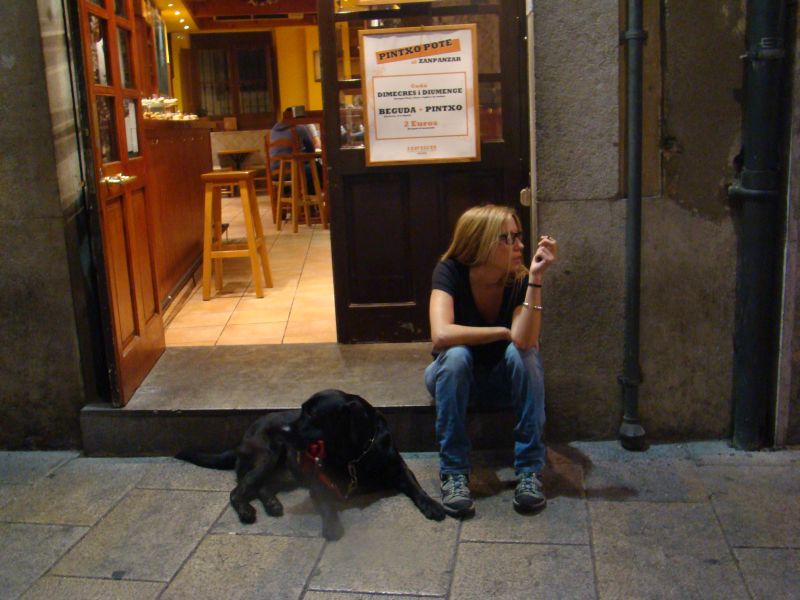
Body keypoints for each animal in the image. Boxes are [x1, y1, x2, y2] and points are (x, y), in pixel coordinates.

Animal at [176, 390, 446, 540]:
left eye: (312, 414)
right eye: (301, 410)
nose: (284, 430)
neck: (355, 454)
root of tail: (241, 439)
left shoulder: (399, 467)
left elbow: (416, 488)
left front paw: (432, 505)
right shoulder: (318, 481)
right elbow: (327, 503)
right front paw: (332, 525)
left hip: (286, 473)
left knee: (262, 487)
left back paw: (272, 504)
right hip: (268, 456)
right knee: (238, 490)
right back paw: (246, 510)